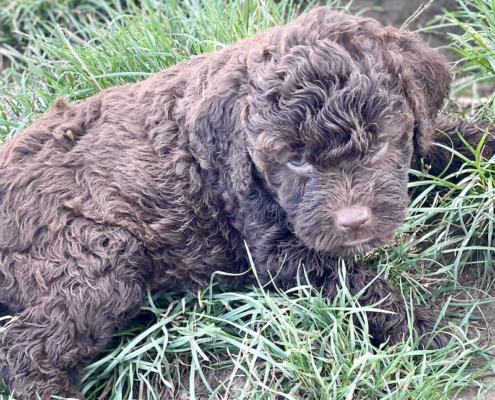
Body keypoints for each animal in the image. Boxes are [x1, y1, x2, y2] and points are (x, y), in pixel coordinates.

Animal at [0, 7, 495, 400]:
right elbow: (355, 282)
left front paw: (483, 150)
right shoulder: (274, 248)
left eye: (378, 144)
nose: (353, 221)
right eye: (295, 160)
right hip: (97, 258)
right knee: (26, 350)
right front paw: (418, 329)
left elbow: (449, 142)